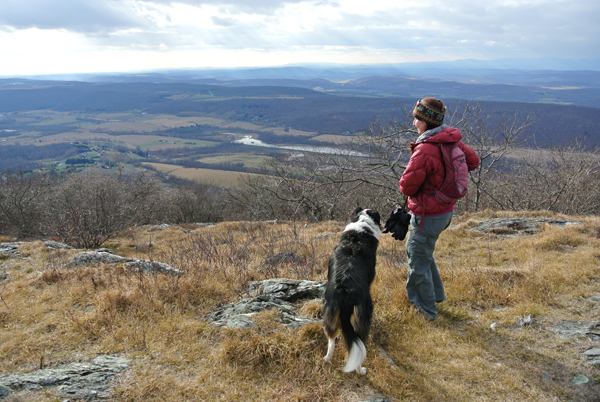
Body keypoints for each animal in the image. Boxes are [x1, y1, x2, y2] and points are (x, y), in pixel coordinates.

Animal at [322, 207, 382, 374]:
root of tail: (345, 291)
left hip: (330, 312)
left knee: (331, 339)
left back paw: (327, 359)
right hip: (362, 316)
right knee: (360, 347)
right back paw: (361, 370)